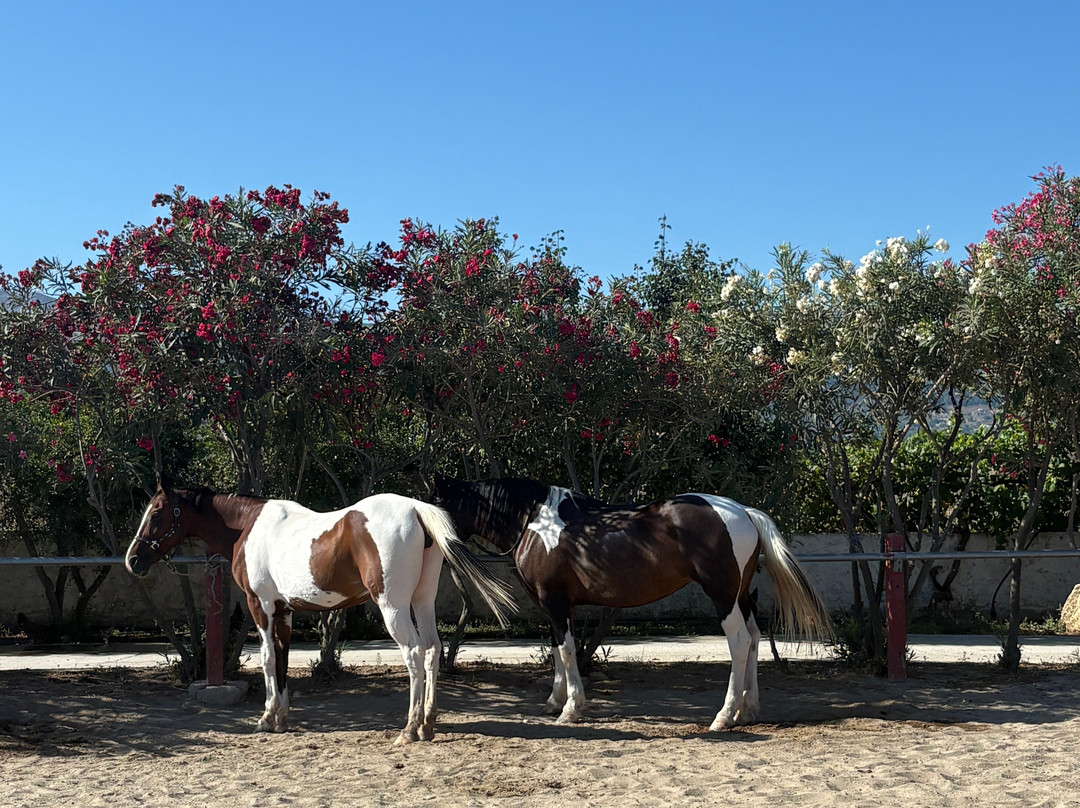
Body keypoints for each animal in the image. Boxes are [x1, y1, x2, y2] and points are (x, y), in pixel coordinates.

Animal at [125, 485, 515, 743]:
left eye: (156, 513)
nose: (132, 560)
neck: (248, 527)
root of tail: (417, 510)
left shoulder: (260, 606)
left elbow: (267, 659)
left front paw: (266, 717)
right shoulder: (284, 611)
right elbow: (282, 658)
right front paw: (281, 717)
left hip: (393, 606)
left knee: (415, 654)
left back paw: (409, 729)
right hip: (421, 600)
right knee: (433, 650)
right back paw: (428, 724)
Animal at [433, 476, 831, 730]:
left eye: (439, 506)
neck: (535, 523)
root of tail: (744, 512)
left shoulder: (556, 602)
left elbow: (566, 649)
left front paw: (571, 709)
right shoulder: (553, 605)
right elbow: (558, 647)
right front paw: (555, 701)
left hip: (723, 596)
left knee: (739, 642)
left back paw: (724, 716)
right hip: (739, 597)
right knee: (753, 639)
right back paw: (748, 711)